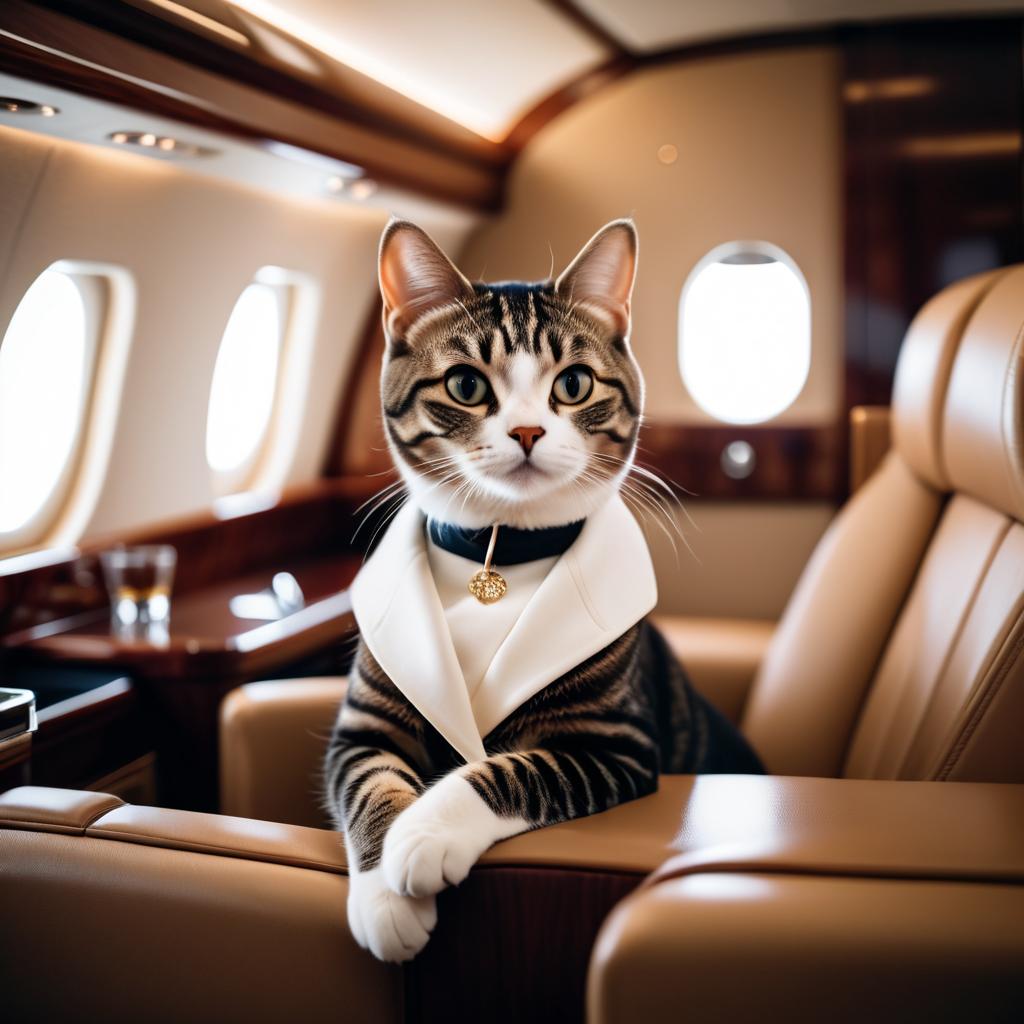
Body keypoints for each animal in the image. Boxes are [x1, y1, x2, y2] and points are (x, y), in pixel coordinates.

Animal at [323, 216, 765, 958]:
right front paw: (385, 893)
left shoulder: (616, 744)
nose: (527, 430)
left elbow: (516, 770)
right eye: (466, 385)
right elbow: (369, 782)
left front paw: (427, 832)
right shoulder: (364, 725)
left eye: (575, 383)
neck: (500, 557)